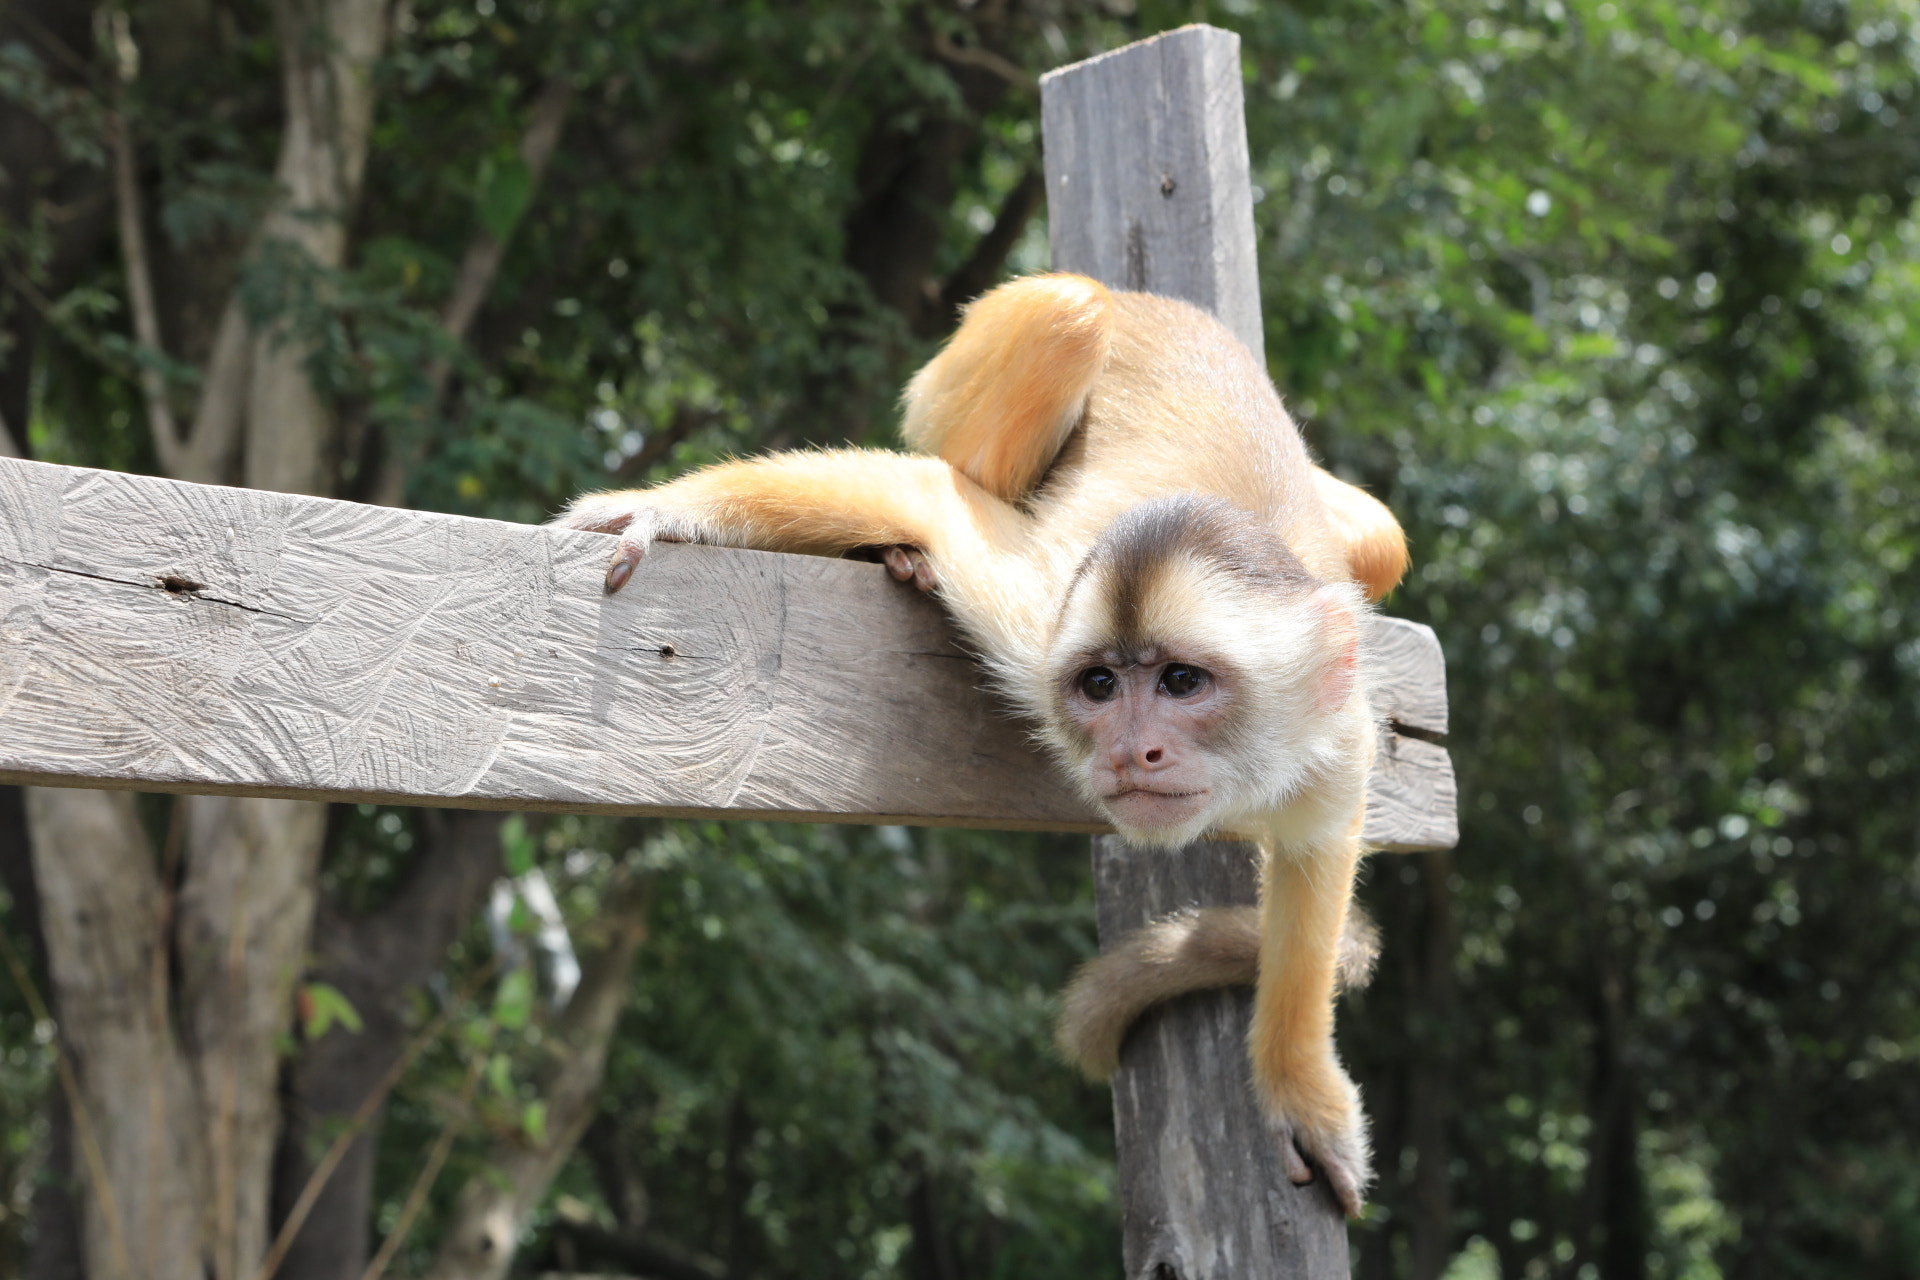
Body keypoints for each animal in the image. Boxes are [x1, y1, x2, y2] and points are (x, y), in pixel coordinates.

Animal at [556, 273, 1407, 1215]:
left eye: (1183, 683)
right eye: (1101, 686)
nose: (1132, 752)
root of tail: (1144, 294)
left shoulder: (1337, 726)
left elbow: (1318, 850)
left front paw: (1296, 1083)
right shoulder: (1048, 617)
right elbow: (934, 498)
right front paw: (669, 509)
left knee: (1384, 536)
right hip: (955, 383)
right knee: (1063, 318)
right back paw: (898, 552)